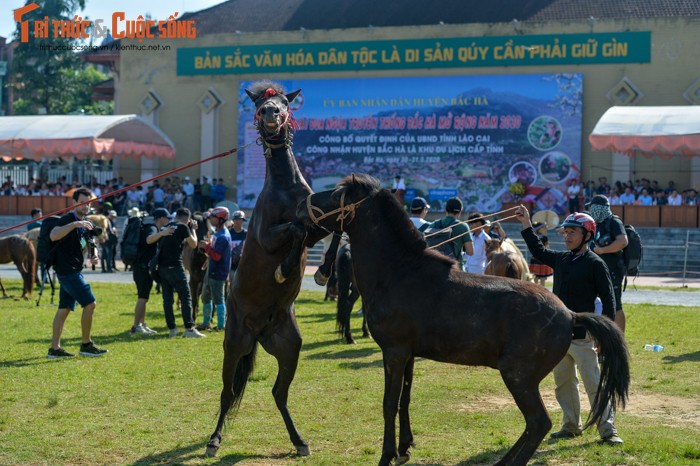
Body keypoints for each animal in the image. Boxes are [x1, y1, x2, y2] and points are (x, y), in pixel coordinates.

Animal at [205, 82, 340, 456]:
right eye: (260, 104)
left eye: (283, 103)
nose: (270, 113)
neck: (285, 188)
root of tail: (259, 332)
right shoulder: (267, 235)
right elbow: (295, 229)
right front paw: (285, 268)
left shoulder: (317, 222)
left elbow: (331, 226)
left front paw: (322, 271)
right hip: (235, 344)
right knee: (226, 393)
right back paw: (214, 440)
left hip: (289, 347)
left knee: (279, 393)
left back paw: (300, 441)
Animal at [298, 175, 632, 466]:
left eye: (337, 194)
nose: (303, 205)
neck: (398, 273)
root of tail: (570, 314)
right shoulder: (408, 355)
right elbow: (405, 400)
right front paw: (405, 449)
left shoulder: (393, 352)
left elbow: (389, 404)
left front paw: (387, 456)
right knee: (534, 425)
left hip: (518, 377)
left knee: (539, 422)